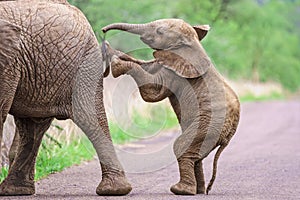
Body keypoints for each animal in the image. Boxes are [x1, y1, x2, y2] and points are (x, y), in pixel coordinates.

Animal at [0, 0, 131, 196]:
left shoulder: (8, 62)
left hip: (83, 66)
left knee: (90, 118)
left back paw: (113, 190)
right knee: (31, 125)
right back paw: (14, 190)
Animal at [104, 19, 240, 195]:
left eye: (159, 31)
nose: (103, 30)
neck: (192, 43)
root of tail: (228, 137)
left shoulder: (175, 75)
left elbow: (152, 91)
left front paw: (115, 62)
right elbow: (147, 66)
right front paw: (109, 49)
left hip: (210, 125)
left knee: (182, 146)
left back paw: (181, 190)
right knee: (196, 157)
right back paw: (199, 191)